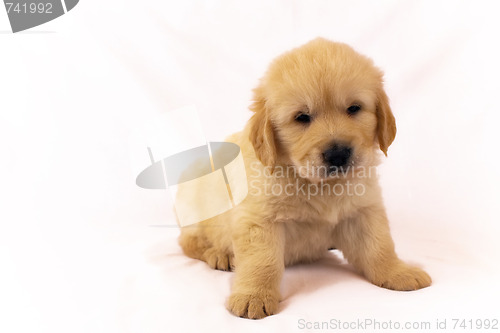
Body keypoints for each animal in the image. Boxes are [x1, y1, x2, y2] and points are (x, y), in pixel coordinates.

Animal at [178, 38, 432, 320]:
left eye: (354, 109)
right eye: (302, 117)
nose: (338, 154)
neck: (316, 184)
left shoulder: (363, 210)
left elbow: (379, 246)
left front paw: (398, 272)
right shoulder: (259, 219)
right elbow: (261, 261)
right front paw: (254, 295)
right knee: (188, 241)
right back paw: (219, 254)